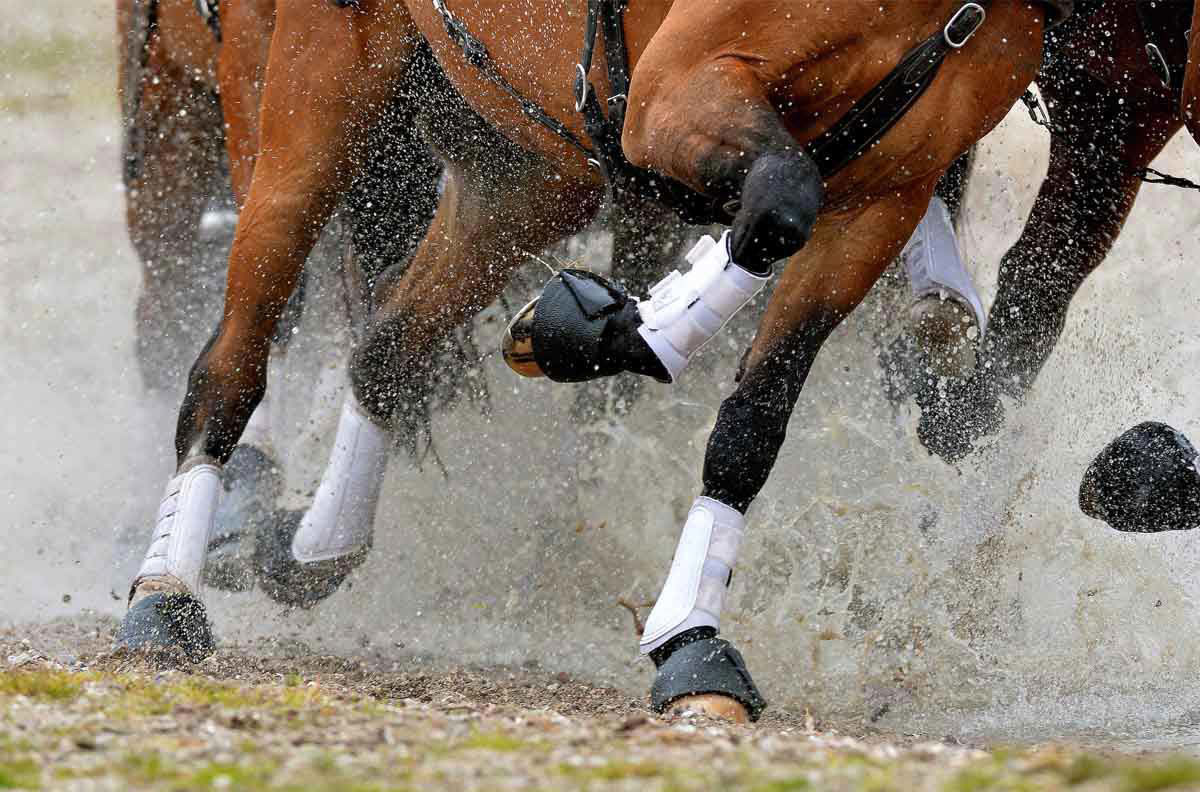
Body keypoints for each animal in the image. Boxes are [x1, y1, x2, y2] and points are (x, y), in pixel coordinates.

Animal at [119, 0, 1060, 724]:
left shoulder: (893, 184)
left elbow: (754, 416)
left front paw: (692, 640)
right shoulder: (674, 89)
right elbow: (780, 202)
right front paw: (620, 329)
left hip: (524, 157)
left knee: (393, 348)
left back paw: (318, 542)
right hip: (314, 83)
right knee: (235, 354)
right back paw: (165, 592)